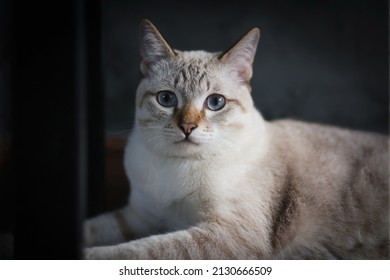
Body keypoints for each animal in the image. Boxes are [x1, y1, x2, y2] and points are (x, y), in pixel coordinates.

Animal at [84, 19, 388, 260]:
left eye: (215, 102)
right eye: (166, 99)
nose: (187, 127)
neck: (177, 168)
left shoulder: (230, 235)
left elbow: (140, 250)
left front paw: (90, 255)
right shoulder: (140, 215)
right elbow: (95, 227)